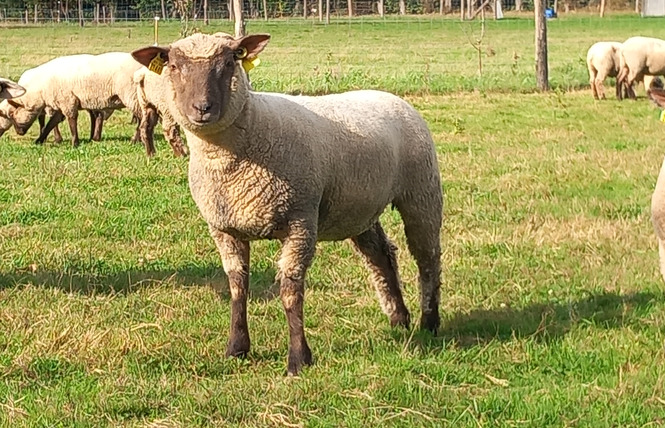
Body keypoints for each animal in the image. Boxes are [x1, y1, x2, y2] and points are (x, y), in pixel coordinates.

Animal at [130, 32, 444, 374]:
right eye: (174, 66)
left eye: (230, 62)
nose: (202, 108)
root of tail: (389, 96)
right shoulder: (224, 228)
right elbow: (237, 287)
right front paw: (236, 348)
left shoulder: (301, 221)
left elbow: (291, 291)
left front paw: (297, 359)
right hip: (359, 209)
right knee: (381, 255)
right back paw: (399, 318)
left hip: (421, 190)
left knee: (427, 258)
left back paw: (429, 322)